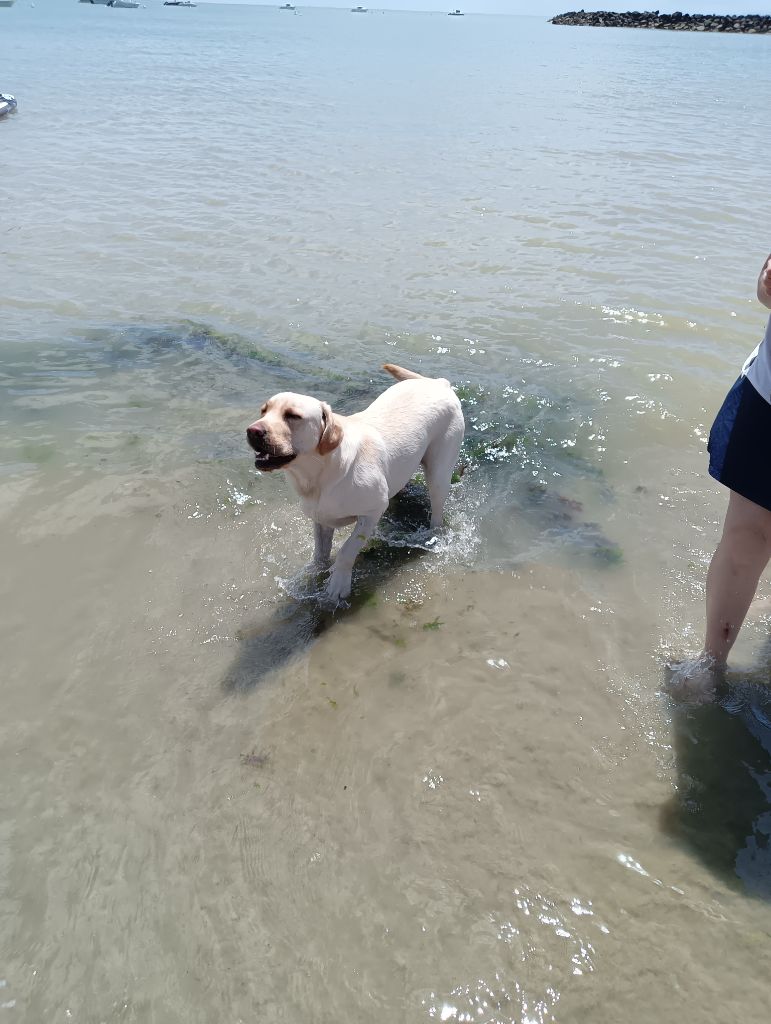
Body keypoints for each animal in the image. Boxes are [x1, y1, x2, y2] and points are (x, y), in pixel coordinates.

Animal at [246, 362, 462, 598]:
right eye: (264, 411)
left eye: (293, 416)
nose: (252, 431)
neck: (319, 475)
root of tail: (438, 383)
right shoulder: (321, 519)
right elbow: (319, 554)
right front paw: (311, 577)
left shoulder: (374, 510)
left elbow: (347, 549)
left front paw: (338, 583)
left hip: (439, 473)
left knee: (437, 511)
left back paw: (432, 534)